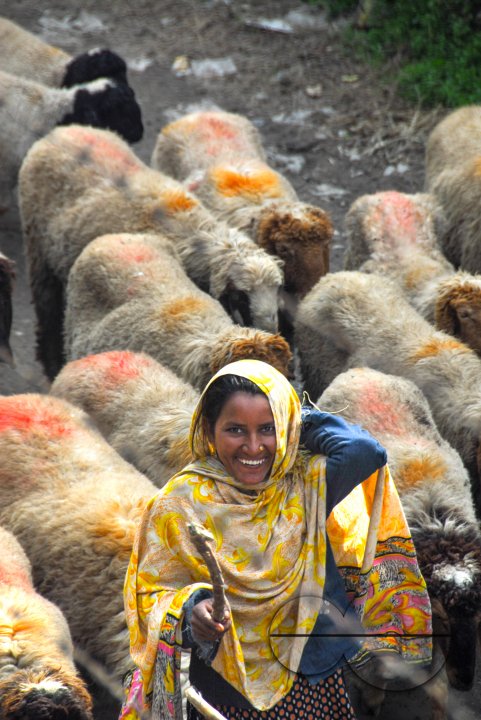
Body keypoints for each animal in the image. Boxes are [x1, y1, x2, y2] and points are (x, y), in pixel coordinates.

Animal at [317, 367, 481, 715]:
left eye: (479, 616)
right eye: (442, 617)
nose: (464, 681)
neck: (436, 519)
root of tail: (360, 372)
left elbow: (437, 691)